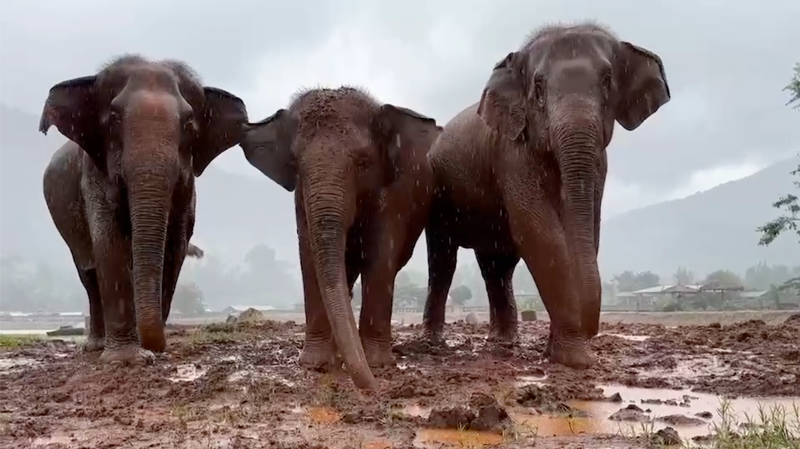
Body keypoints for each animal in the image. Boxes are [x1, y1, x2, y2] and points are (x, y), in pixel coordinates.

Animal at [37, 55, 248, 364]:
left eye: (188, 122)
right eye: (114, 117)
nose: (155, 348)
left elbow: (175, 247)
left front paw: (148, 349)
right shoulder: (94, 174)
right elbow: (110, 243)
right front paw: (126, 360)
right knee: (88, 273)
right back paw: (96, 347)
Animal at [242, 87, 444, 388]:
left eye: (363, 163)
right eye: (295, 163)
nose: (374, 389)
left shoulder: (395, 196)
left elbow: (381, 259)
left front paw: (379, 364)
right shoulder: (301, 202)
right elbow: (309, 257)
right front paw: (316, 365)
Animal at [422, 21, 672, 368]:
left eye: (607, 80)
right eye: (538, 87)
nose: (590, 329)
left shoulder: (599, 163)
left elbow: (586, 227)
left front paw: (557, 354)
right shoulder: (512, 154)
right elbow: (540, 232)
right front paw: (575, 360)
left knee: (496, 268)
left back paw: (503, 342)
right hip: (437, 196)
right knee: (444, 262)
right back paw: (436, 342)